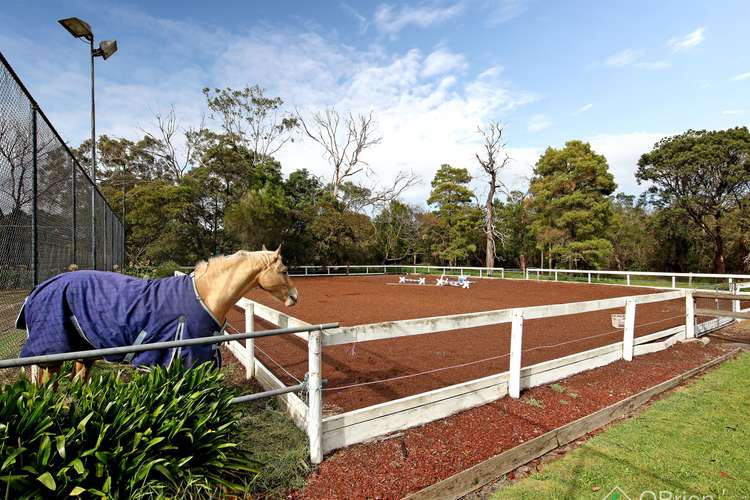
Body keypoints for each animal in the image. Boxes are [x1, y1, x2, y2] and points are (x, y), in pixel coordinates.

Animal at [16, 246, 298, 382]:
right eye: (284, 270)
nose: (295, 297)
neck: (205, 295)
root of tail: (39, 289)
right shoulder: (177, 362)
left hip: (84, 354)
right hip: (53, 358)